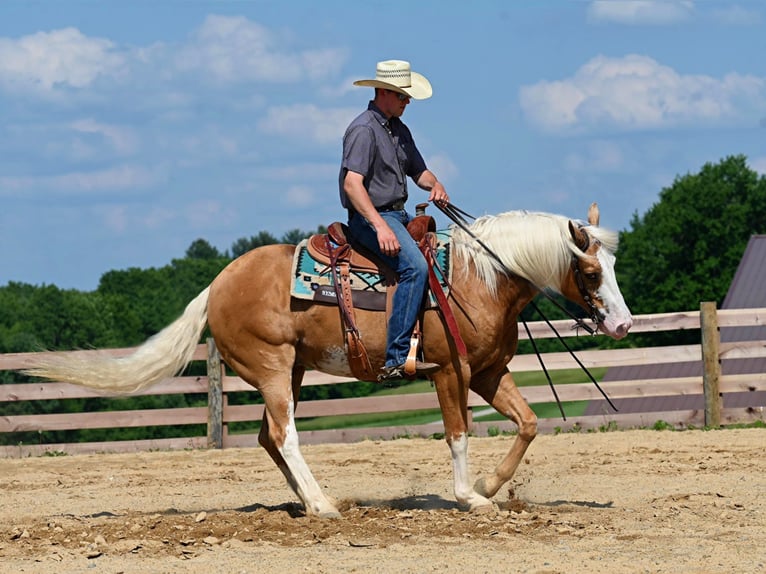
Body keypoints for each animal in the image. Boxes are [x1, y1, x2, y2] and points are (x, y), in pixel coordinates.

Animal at [27, 204, 632, 520]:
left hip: (293, 370)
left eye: (613, 267)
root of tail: (217, 283)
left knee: (269, 438)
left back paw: (307, 500)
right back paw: (321, 505)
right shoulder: (448, 373)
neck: (477, 278)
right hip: (272, 367)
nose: (624, 326)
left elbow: (528, 423)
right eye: (591, 272)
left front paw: (487, 486)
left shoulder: (486, 372)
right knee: (284, 434)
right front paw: (468, 496)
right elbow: (458, 434)